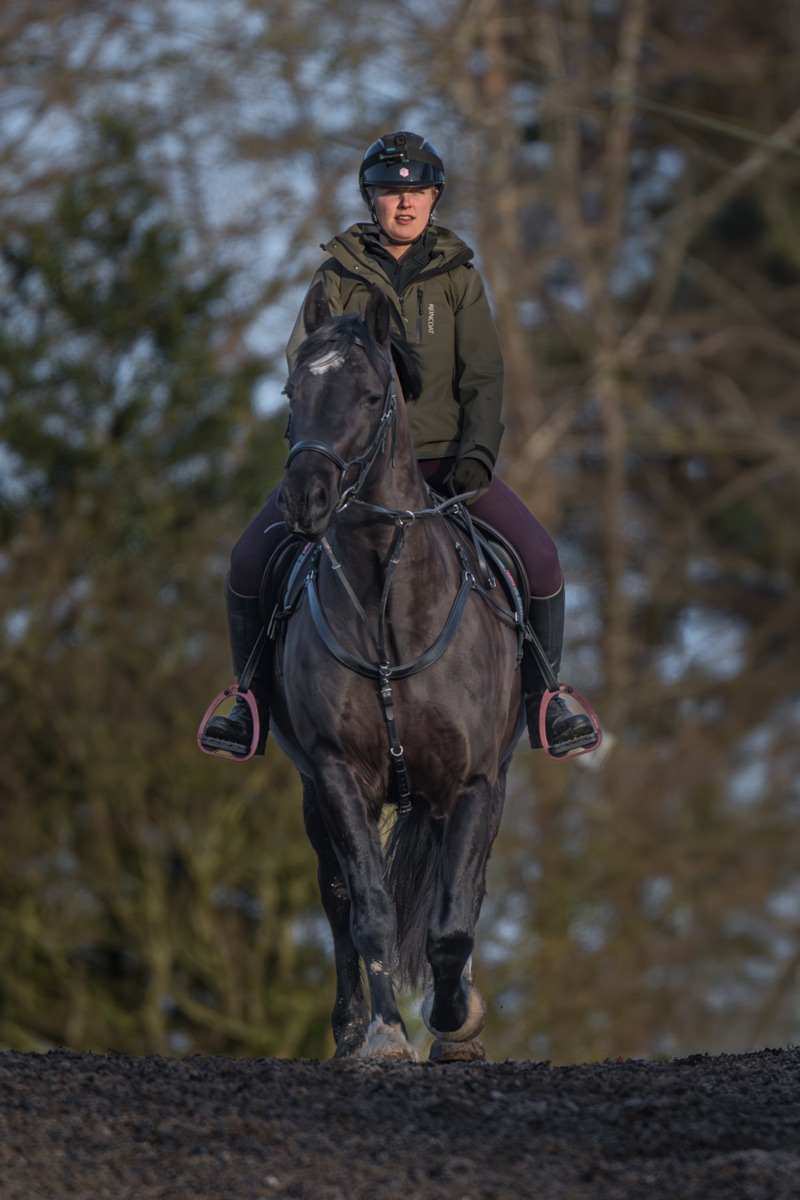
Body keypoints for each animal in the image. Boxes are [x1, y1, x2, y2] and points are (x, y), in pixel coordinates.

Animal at [269, 281, 525, 1062]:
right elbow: (371, 910)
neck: (388, 603)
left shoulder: (473, 783)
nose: (305, 499)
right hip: (316, 795)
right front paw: (384, 1036)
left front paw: (456, 1022)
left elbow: (452, 921)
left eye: (372, 393)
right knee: (338, 897)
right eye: (292, 391)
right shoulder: (335, 774)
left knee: (461, 892)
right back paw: (352, 1027)